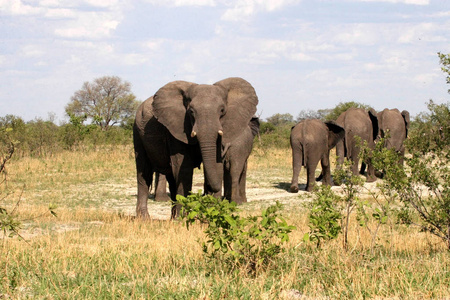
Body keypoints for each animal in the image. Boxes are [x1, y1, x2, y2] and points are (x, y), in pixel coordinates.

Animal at [134, 77, 258, 218]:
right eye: (191, 112)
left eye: (222, 111)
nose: (207, 192)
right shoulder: (176, 128)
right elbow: (184, 169)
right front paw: (182, 218)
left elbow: (216, 166)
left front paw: (211, 215)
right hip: (137, 131)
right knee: (144, 173)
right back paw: (144, 219)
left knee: (170, 177)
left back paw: (172, 218)